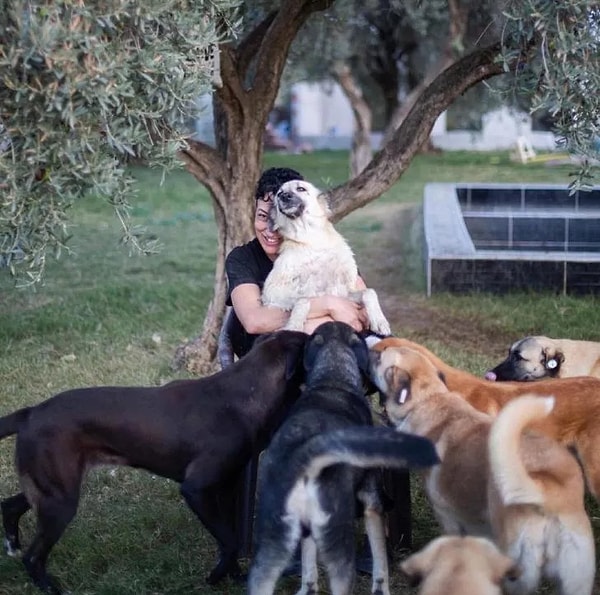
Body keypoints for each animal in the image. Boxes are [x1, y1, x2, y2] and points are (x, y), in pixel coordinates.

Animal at [0, 330, 310, 595]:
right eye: (311, 340)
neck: (248, 389)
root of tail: (30, 413)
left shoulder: (226, 486)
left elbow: (229, 539)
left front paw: (231, 576)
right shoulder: (196, 489)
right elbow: (230, 541)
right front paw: (216, 577)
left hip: (50, 487)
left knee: (10, 506)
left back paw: (12, 545)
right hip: (60, 499)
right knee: (33, 556)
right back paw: (49, 586)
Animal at [246, 324, 438, 595]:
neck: (333, 379)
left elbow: (309, 567)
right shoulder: (372, 504)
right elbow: (380, 562)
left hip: (270, 544)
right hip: (339, 549)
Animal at [260, 177, 392, 338]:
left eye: (301, 189)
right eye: (279, 193)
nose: (284, 196)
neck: (312, 242)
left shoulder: (342, 291)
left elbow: (370, 292)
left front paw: (379, 321)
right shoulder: (271, 293)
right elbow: (303, 299)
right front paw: (294, 325)